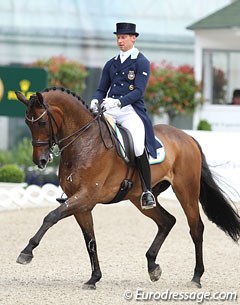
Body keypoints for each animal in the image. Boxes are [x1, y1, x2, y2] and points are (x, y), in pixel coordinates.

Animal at [15, 87, 240, 288]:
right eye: (27, 123)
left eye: (42, 122)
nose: (40, 161)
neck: (84, 142)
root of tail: (187, 137)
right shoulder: (81, 203)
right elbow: (90, 240)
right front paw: (94, 278)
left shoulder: (85, 196)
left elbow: (51, 217)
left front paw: (26, 252)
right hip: (139, 197)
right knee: (167, 221)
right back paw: (152, 266)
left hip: (186, 190)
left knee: (196, 228)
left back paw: (196, 277)